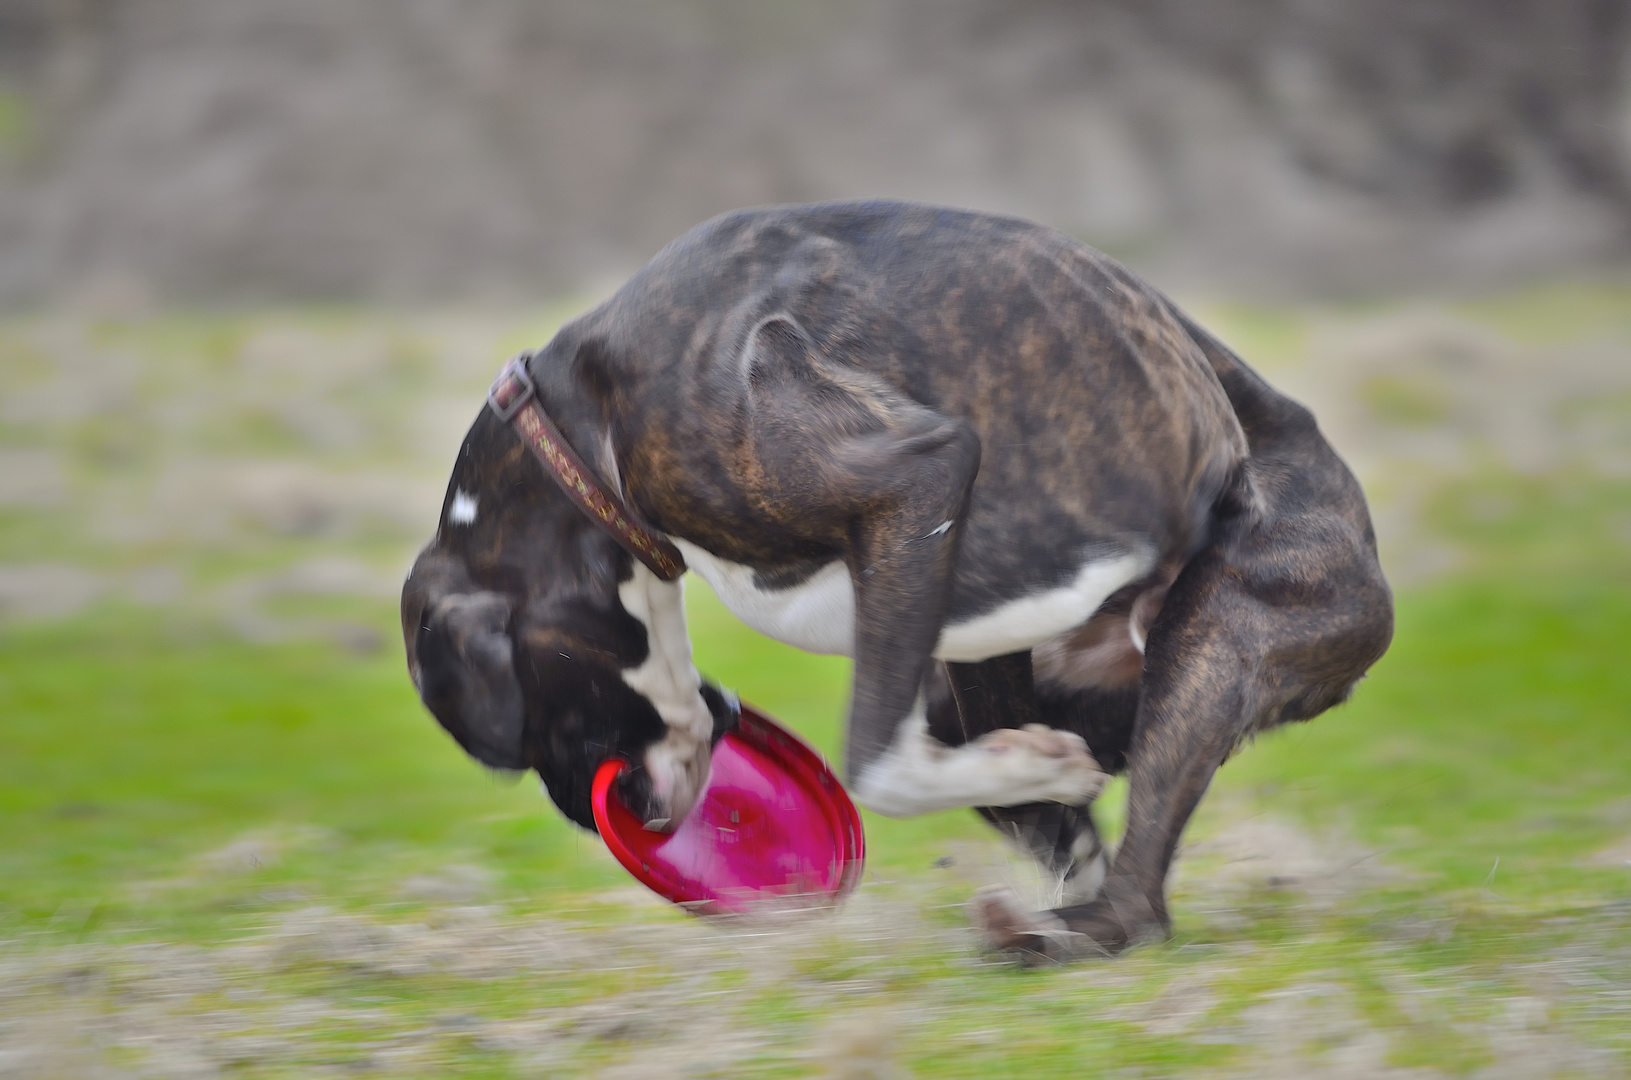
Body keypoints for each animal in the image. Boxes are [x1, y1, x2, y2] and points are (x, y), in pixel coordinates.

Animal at [401, 199, 1396, 959]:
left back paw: (1055, 937)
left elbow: (873, 761)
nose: (610, 816)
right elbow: (1033, 806)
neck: (575, 434)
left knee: (1140, 904)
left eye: (549, 721)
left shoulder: (914, 483)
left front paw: (1036, 780)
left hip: (1208, 639)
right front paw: (1038, 780)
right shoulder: (959, 626)